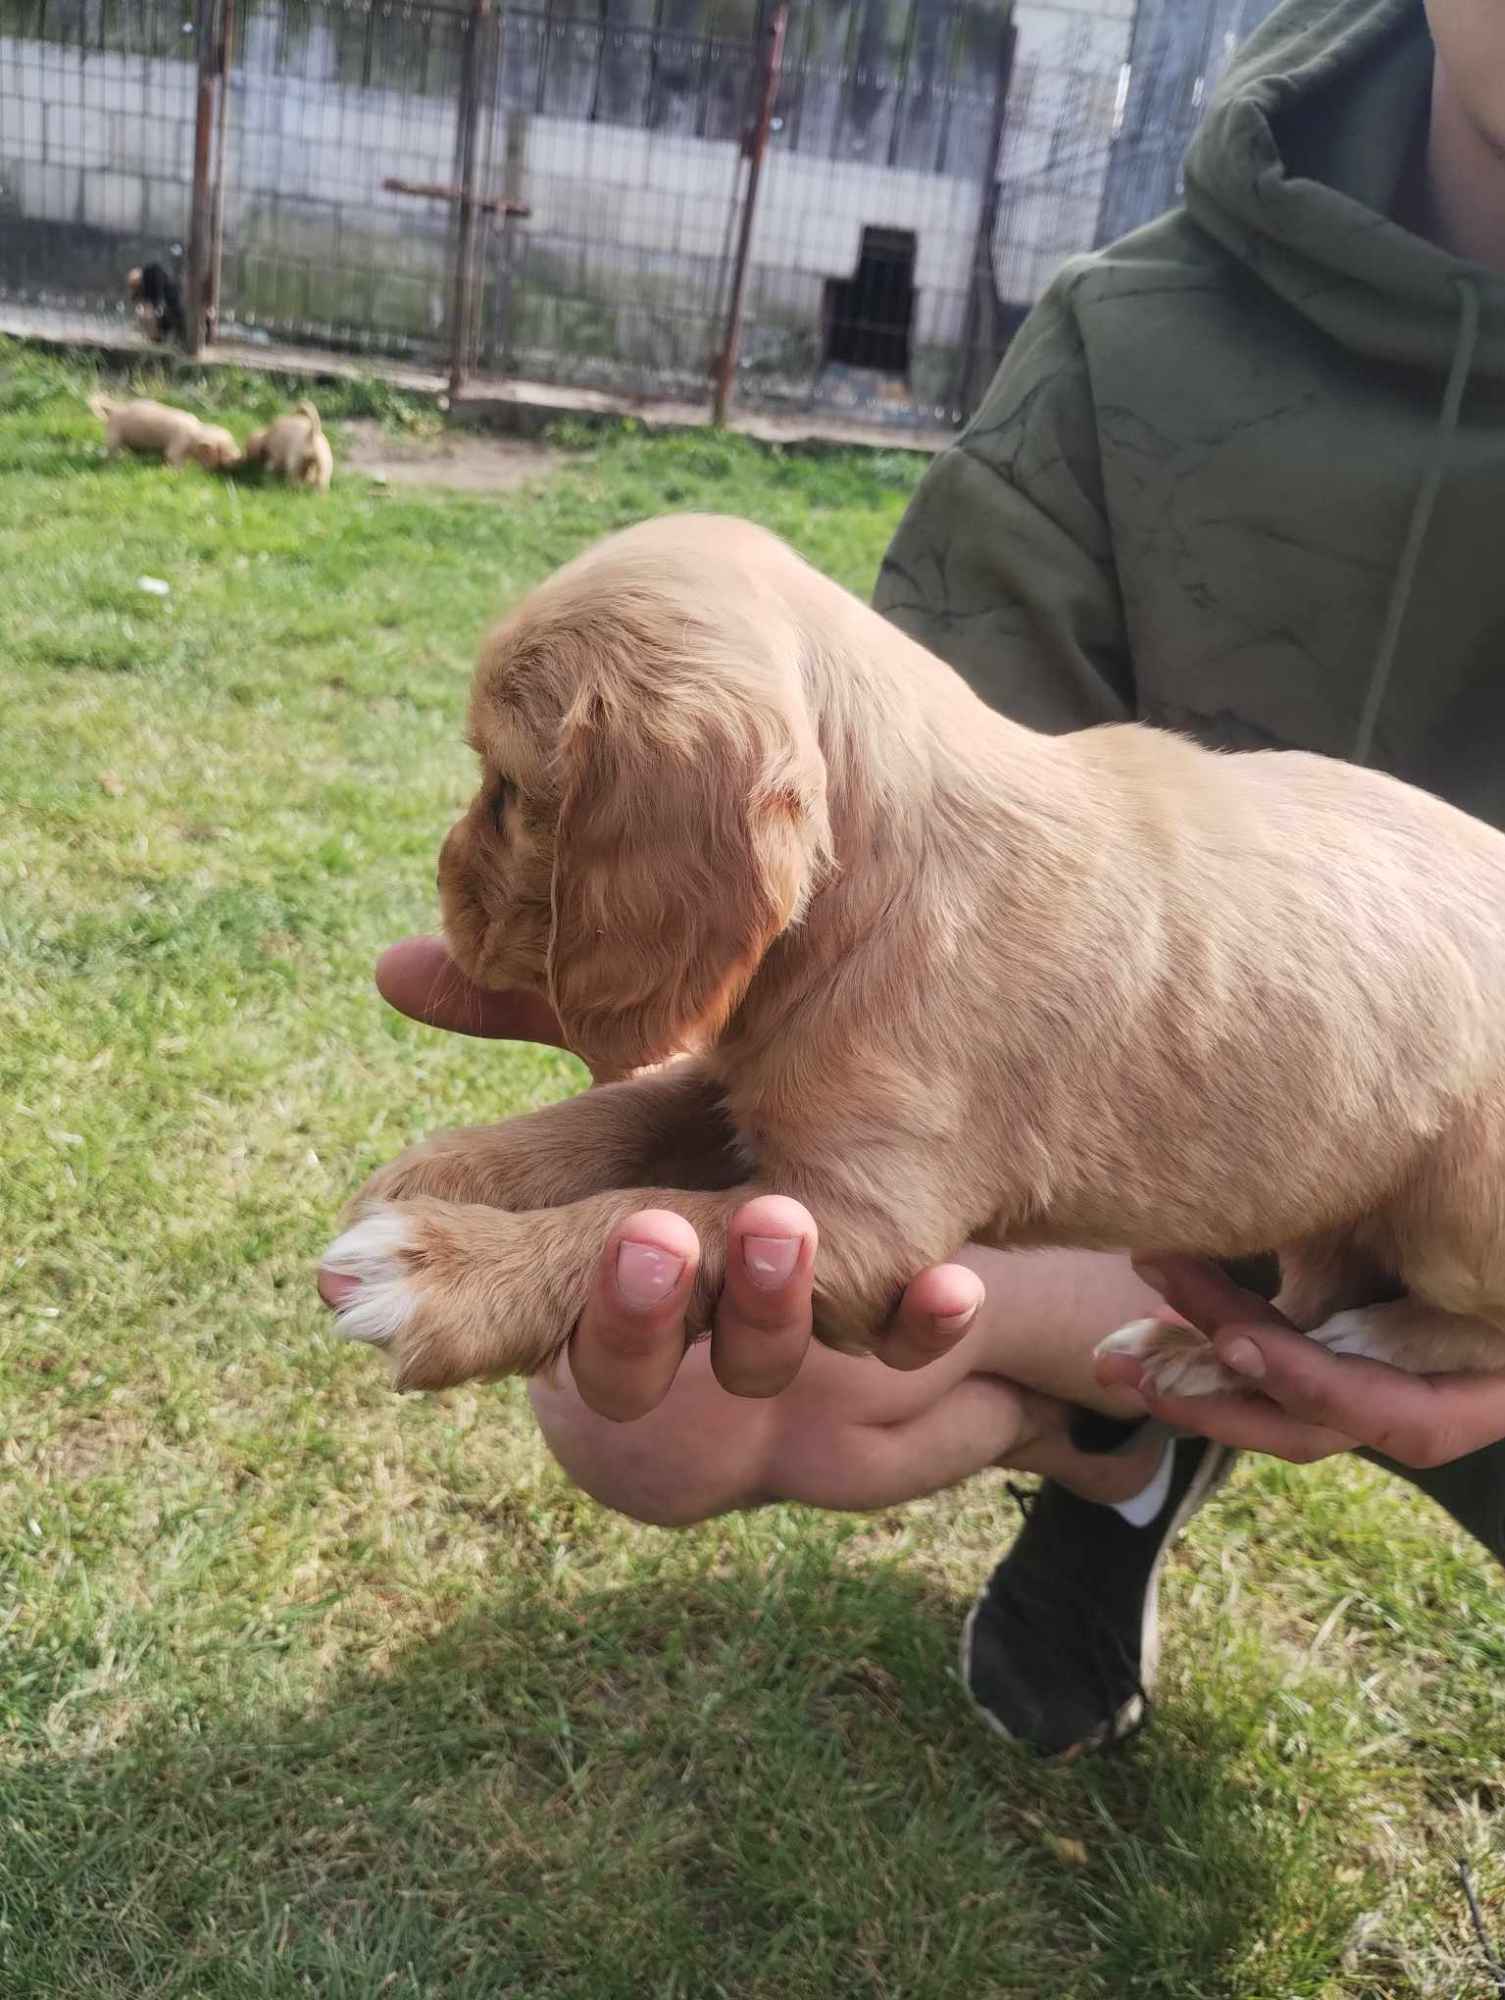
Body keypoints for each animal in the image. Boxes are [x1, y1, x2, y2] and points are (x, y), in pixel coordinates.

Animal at [88, 398, 242, 476]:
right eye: (224, 449)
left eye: (233, 441)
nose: (238, 457)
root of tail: (113, 410)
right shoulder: (177, 445)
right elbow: (175, 461)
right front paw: (178, 473)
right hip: (114, 436)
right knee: (111, 454)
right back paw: (112, 466)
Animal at [320, 508, 1505, 1400]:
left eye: (509, 790)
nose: (441, 881)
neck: (875, 889)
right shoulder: (750, 1077)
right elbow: (618, 1117)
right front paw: (457, 1169)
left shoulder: (861, 1219)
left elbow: (647, 1218)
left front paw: (443, 1269)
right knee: (1294, 1307)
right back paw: (1196, 1352)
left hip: (1457, 1203)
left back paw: (1378, 1340)